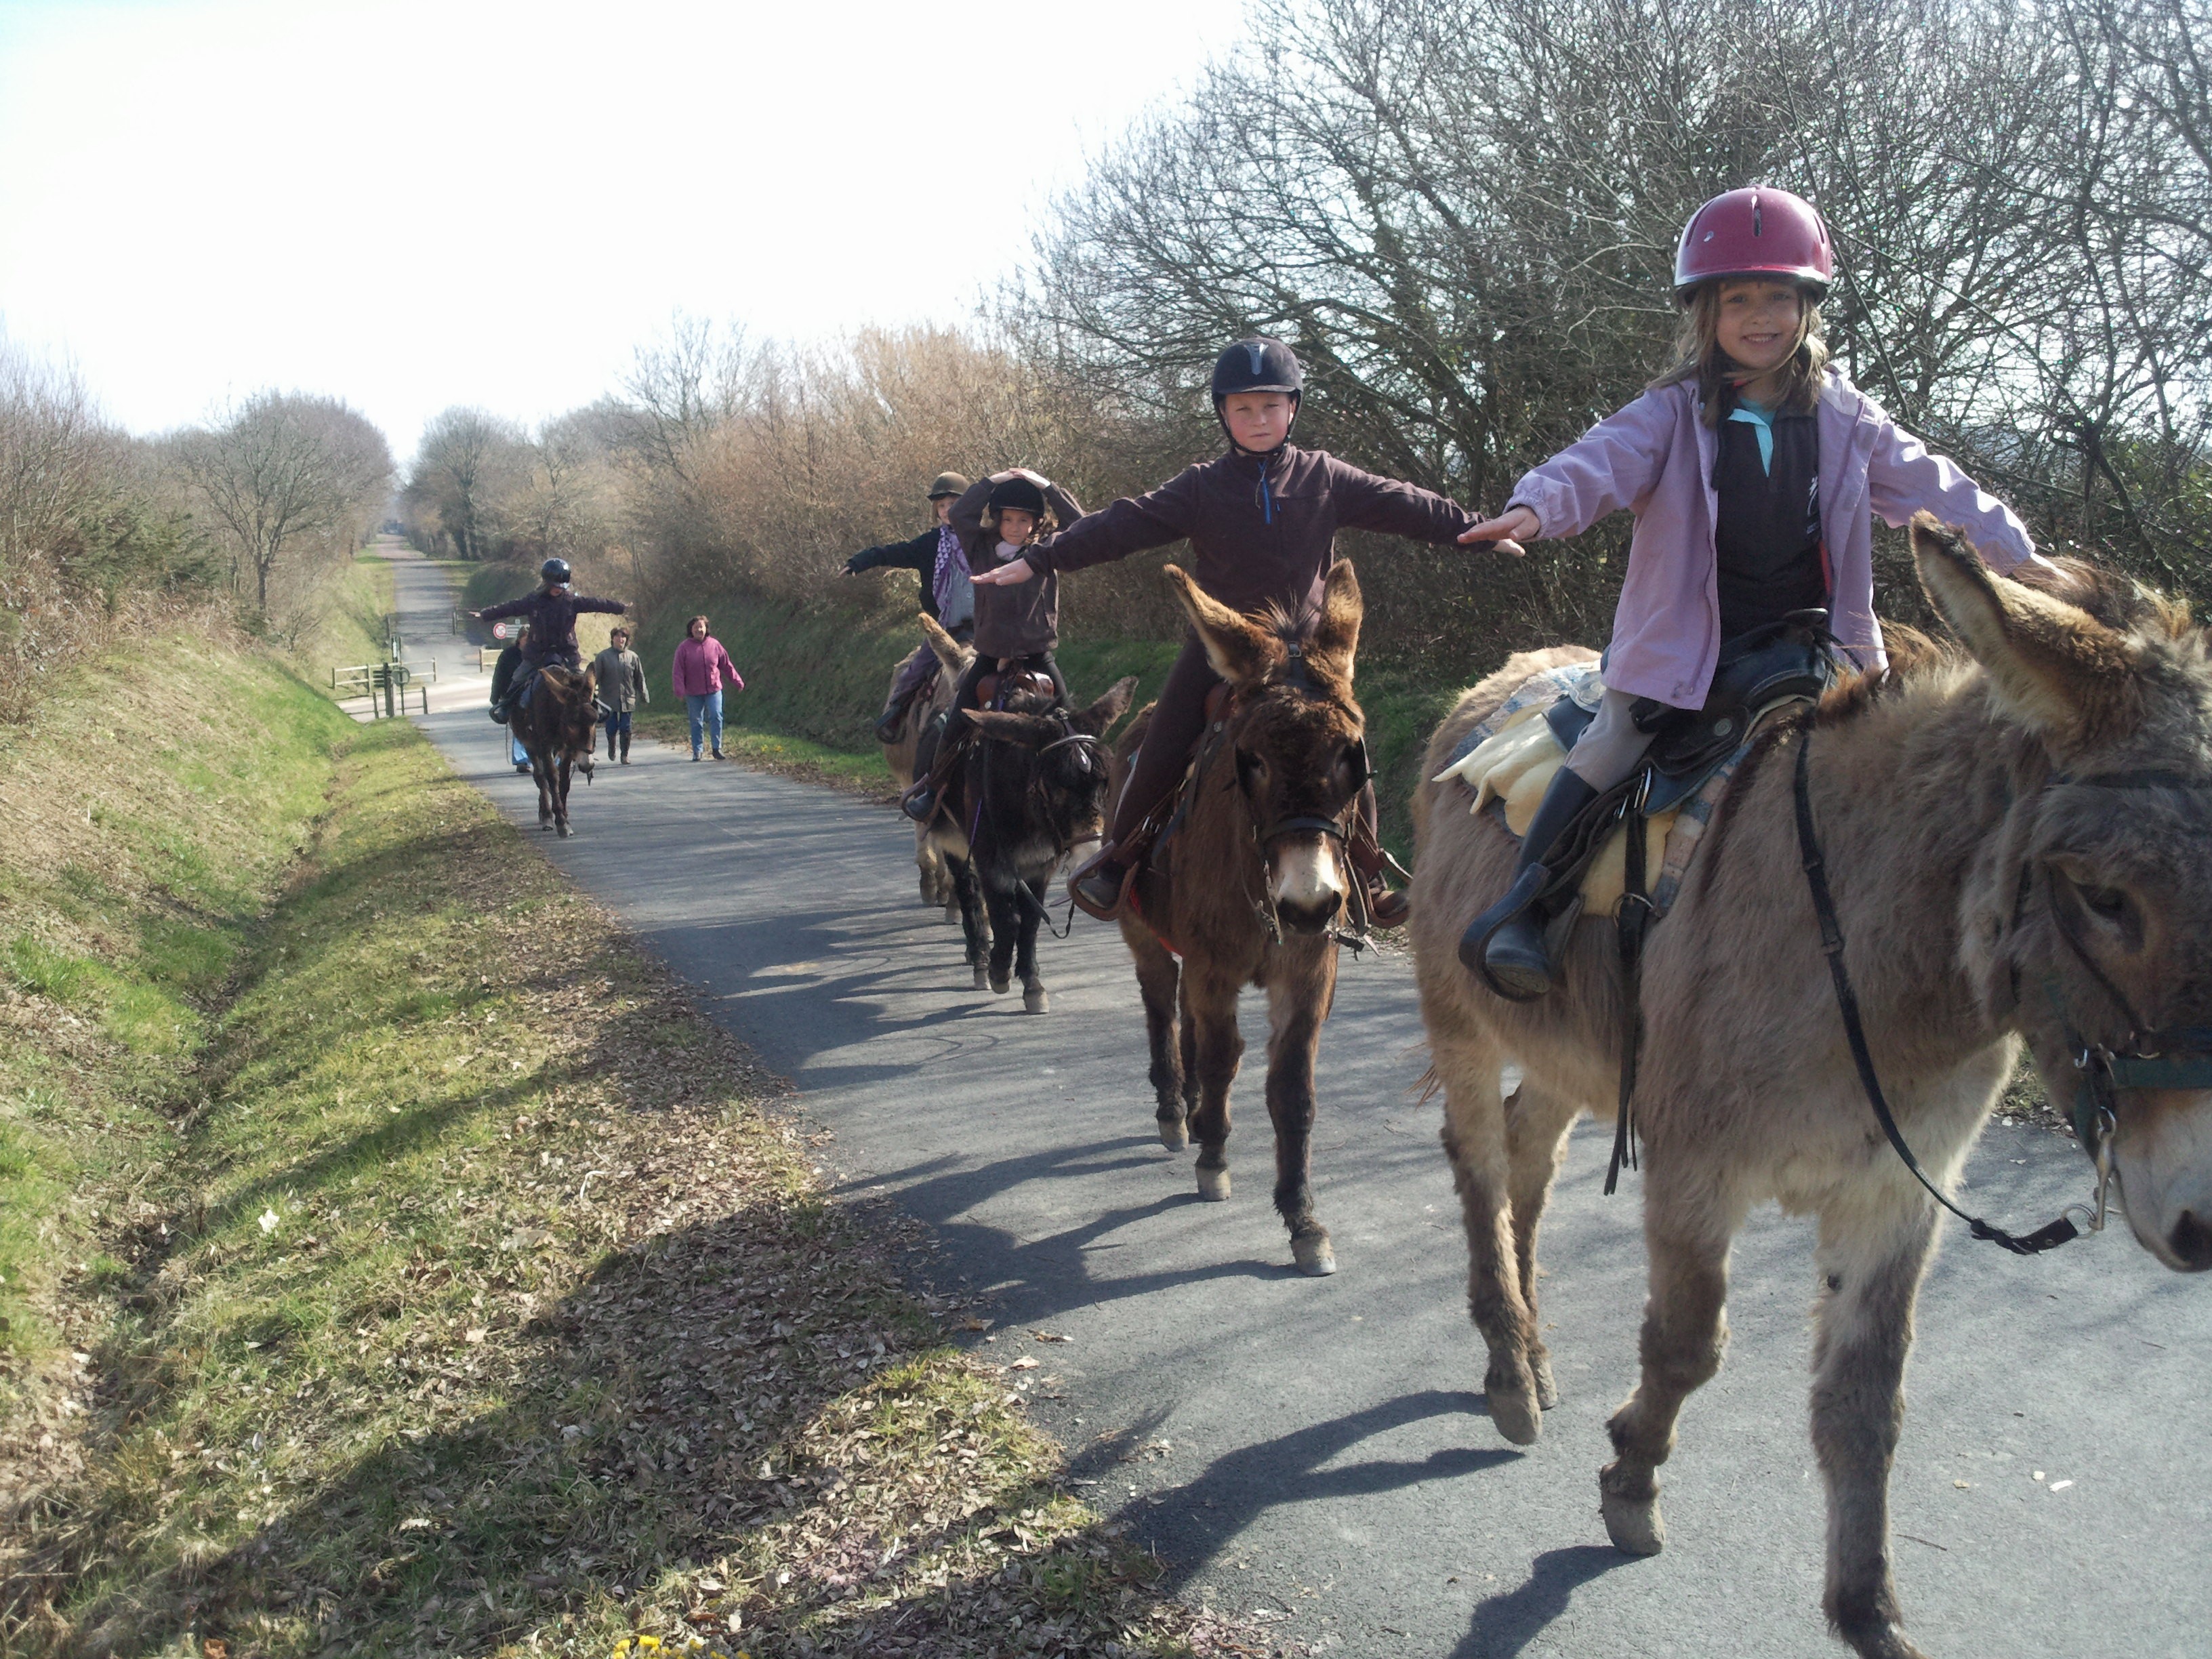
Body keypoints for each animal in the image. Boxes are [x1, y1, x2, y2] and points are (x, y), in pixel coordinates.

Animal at [508, 668, 597, 836]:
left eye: (595, 720)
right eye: (571, 723)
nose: (588, 766)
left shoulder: (567, 750)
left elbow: (564, 782)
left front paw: (565, 817)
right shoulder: (544, 747)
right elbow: (552, 778)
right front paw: (561, 822)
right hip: (530, 745)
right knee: (540, 777)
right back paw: (547, 816)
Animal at [920, 646, 1132, 1012]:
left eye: (1105, 782)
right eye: (1052, 786)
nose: (1091, 860)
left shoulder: (1040, 863)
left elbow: (1031, 920)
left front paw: (1032, 983)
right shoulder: (992, 860)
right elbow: (1007, 919)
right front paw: (999, 972)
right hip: (957, 840)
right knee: (968, 892)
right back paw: (979, 957)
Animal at [1115, 566, 1371, 1283]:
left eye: (1353, 756)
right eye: (1249, 759)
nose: (1308, 905)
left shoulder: (1309, 977)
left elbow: (1292, 1091)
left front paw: (1304, 1220)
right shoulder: (1216, 969)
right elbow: (1224, 1056)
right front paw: (1213, 1160)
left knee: (1184, 1015)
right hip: (1147, 936)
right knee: (1162, 1008)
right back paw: (1178, 1112)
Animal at [1406, 513, 2212, 1654]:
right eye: (2105, 898)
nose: (2202, 1222)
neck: (1870, 953)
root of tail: (1505, 676)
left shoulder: (1893, 1194)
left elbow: (1866, 1404)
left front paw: (1868, 1612)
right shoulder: (1697, 1173)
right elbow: (1688, 1347)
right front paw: (1631, 1485)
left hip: (1574, 1051)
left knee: (1528, 1151)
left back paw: (1537, 1348)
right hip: (1463, 1014)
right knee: (1478, 1165)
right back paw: (1510, 1373)